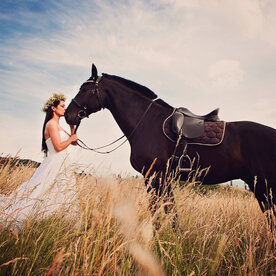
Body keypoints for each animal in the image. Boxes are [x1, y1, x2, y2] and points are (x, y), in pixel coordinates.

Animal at [65, 64, 276, 220]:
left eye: (85, 89)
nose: (68, 115)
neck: (146, 121)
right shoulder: (161, 178)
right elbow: (167, 212)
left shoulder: (155, 176)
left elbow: (160, 212)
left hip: (265, 186)